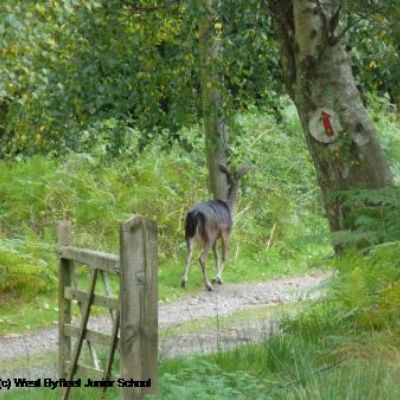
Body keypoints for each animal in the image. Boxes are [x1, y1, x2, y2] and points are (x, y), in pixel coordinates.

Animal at [180, 162, 252, 290]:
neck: (229, 206)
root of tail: (195, 213)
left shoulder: (215, 238)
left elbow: (216, 256)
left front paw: (217, 277)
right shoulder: (225, 233)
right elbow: (224, 256)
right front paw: (218, 278)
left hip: (189, 233)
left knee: (189, 254)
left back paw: (184, 281)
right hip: (209, 234)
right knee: (202, 258)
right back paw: (208, 285)